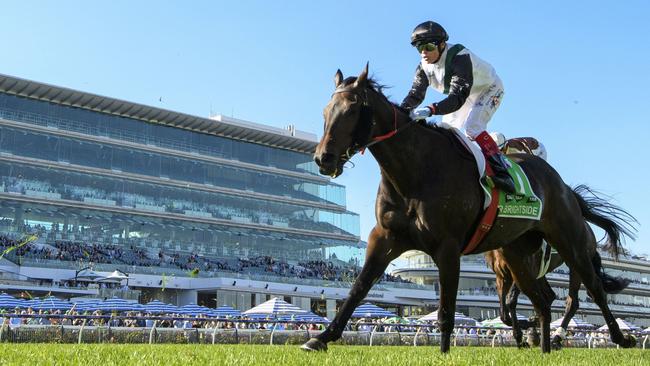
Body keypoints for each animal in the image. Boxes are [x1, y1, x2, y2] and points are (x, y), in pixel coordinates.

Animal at [302, 64, 632, 354]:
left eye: (351, 110)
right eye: (325, 112)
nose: (323, 158)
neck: (414, 172)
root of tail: (563, 185)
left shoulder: (448, 247)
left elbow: (446, 309)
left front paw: (445, 353)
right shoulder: (385, 238)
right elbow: (357, 290)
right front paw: (321, 338)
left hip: (569, 242)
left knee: (591, 290)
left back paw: (617, 338)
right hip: (518, 255)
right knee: (542, 301)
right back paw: (543, 347)